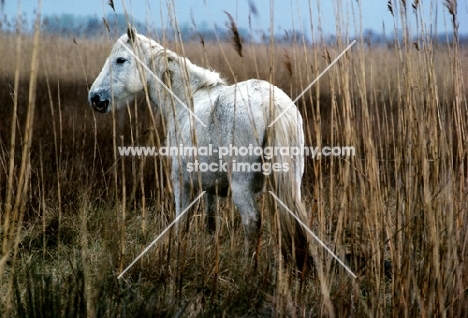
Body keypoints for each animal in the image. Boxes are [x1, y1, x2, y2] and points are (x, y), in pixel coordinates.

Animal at [89, 28, 312, 270]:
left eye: (121, 60)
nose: (95, 97)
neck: (187, 100)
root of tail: (272, 103)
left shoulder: (181, 181)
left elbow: (182, 222)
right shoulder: (210, 188)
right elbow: (211, 224)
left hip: (241, 186)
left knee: (251, 222)